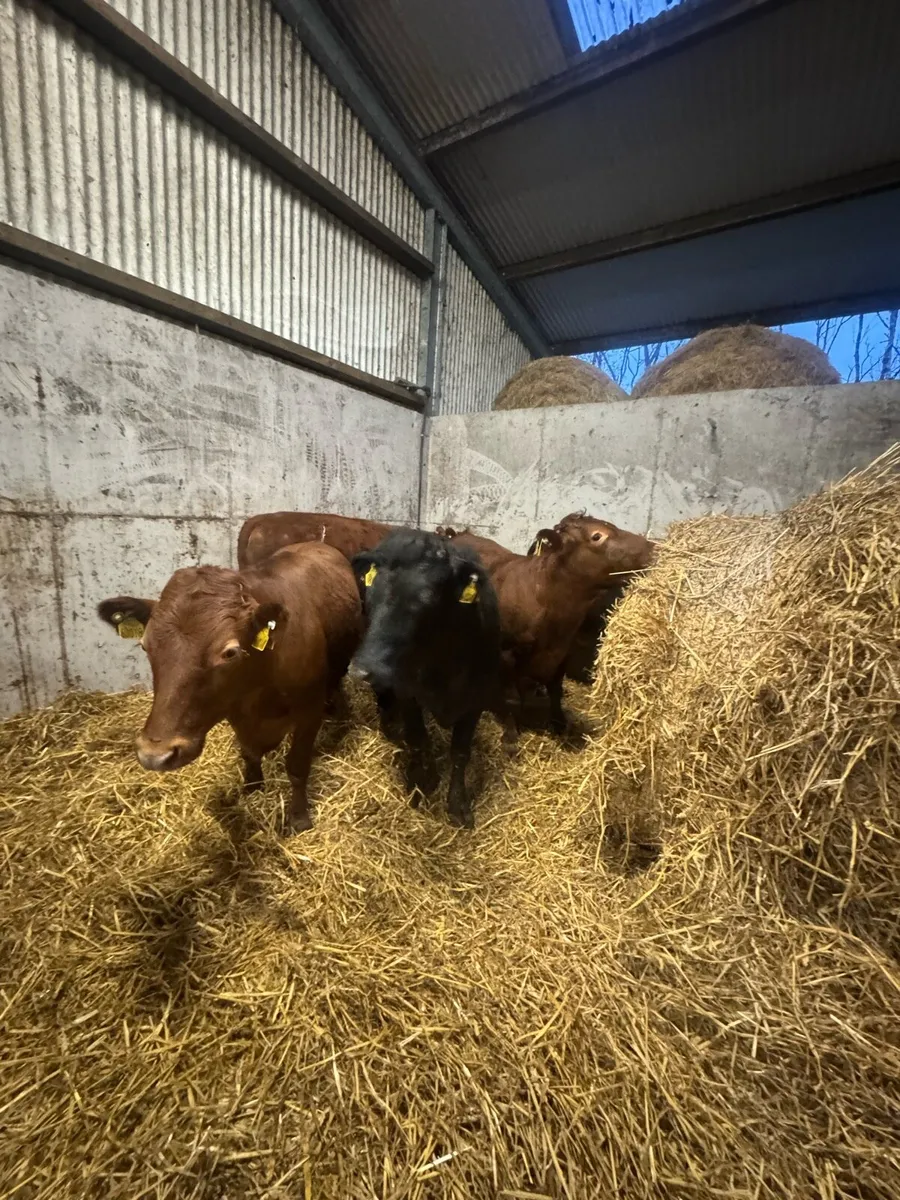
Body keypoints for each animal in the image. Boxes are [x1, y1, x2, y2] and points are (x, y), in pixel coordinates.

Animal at [97, 542, 362, 833]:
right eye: (145, 645)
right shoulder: (234, 710)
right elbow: (250, 754)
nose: (154, 754)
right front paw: (252, 789)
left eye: (229, 653)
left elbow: (297, 765)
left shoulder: (308, 711)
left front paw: (299, 818)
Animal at [349, 529, 502, 829]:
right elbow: (419, 739)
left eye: (427, 600)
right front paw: (423, 781)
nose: (361, 669)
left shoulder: (477, 698)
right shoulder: (406, 691)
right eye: (372, 593)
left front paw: (457, 804)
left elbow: (460, 752)